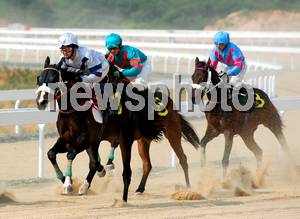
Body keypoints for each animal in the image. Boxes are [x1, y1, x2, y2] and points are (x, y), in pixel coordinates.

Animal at [35, 57, 199, 202]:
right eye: (39, 78)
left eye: (53, 78)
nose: (41, 101)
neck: (75, 108)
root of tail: (168, 100)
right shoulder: (68, 138)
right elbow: (51, 153)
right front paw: (68, 182)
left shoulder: (87, 139)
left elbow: (72, 155)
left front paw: (71, 184)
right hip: (142, 140)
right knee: (147, 164)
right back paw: (138, 189)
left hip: (172, 132)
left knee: (183, 159)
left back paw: (188, 189)